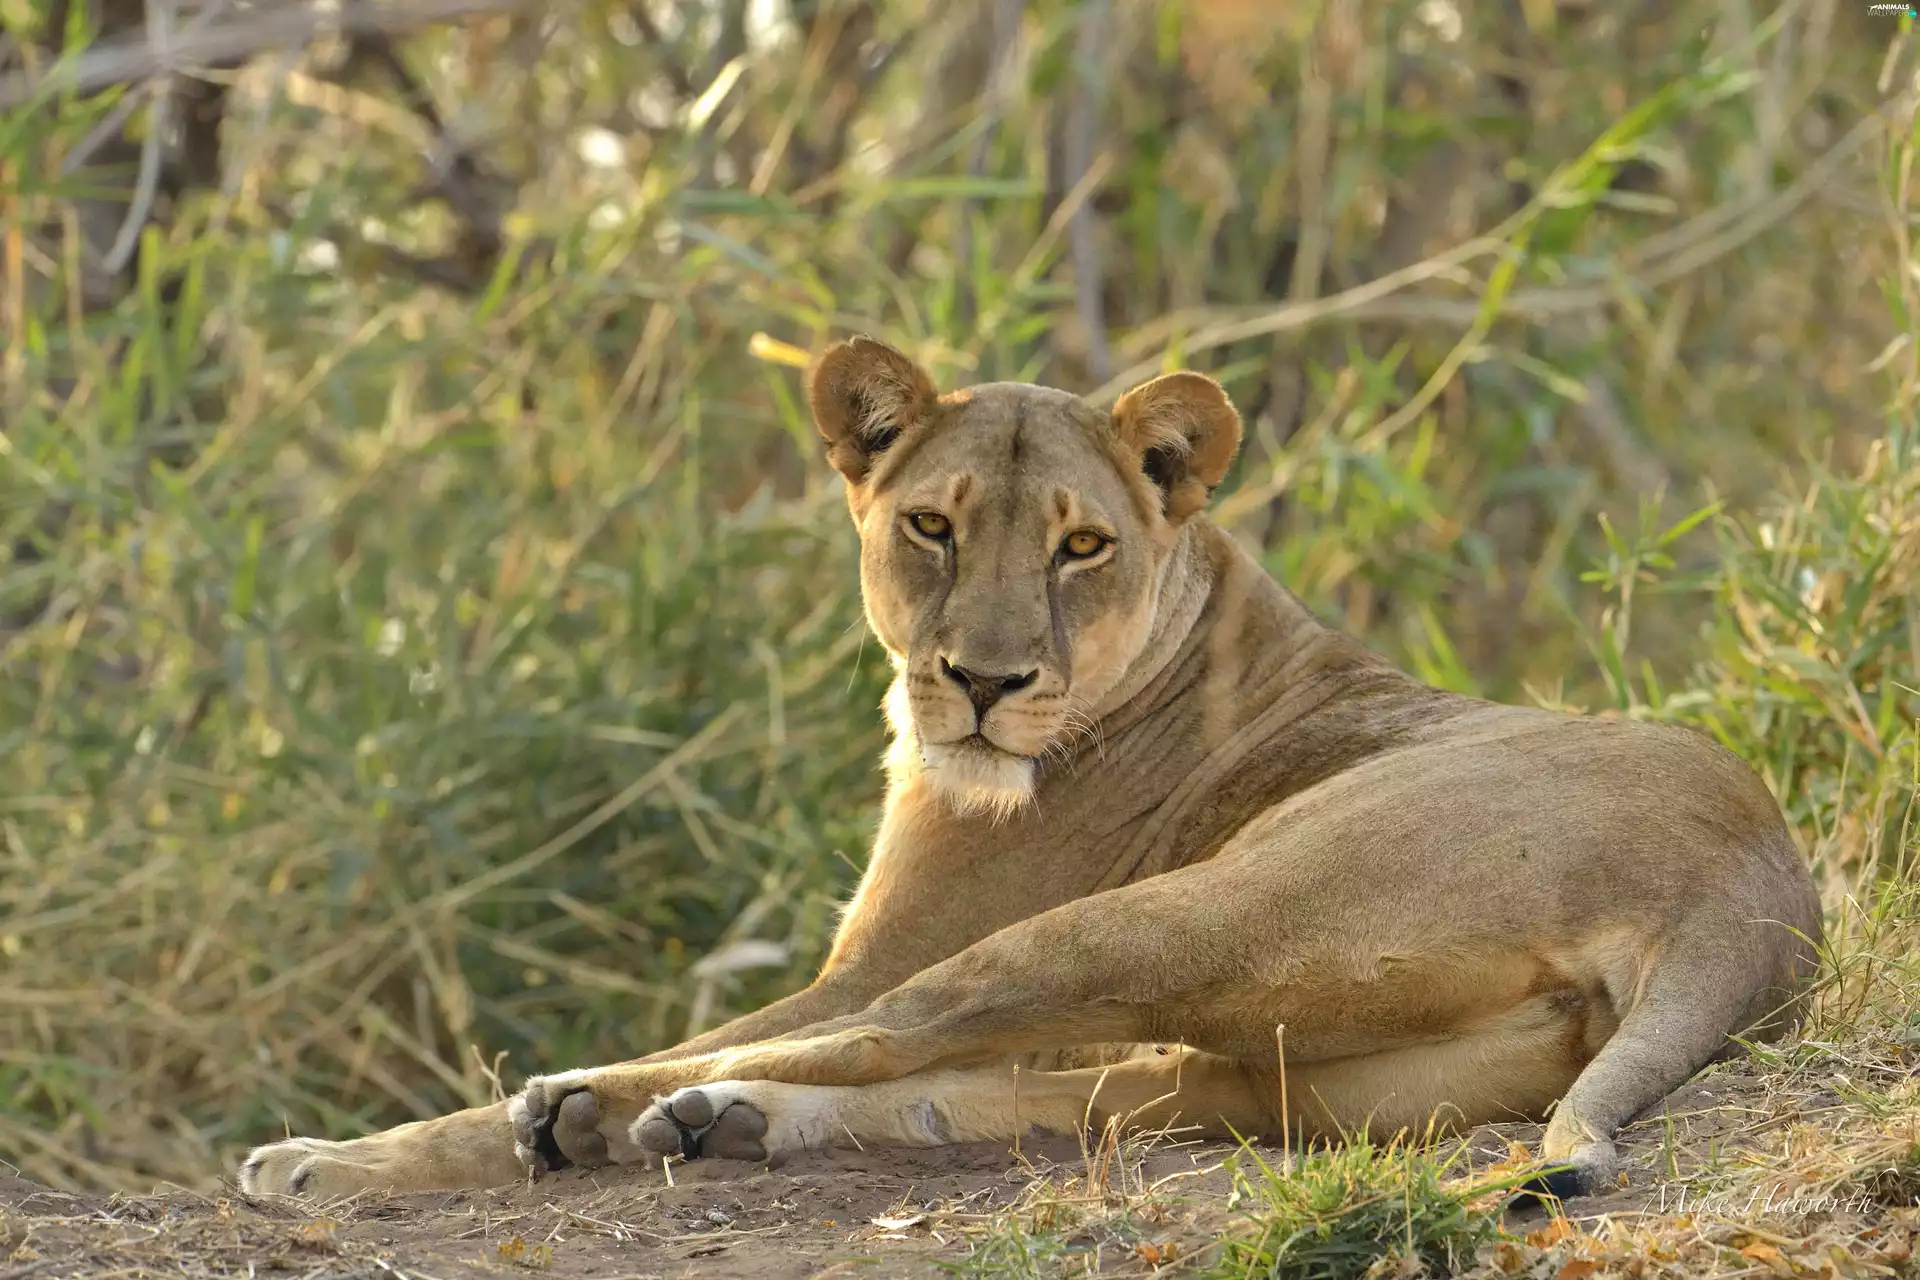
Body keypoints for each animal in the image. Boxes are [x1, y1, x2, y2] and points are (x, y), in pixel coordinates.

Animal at [240, 337, 1823, 1203]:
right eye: (932, 525)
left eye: (1081, 544)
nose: (986, 684)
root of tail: (1756, 895)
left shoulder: (881, 950)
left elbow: (838, 1011)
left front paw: (320, 1161)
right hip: (1295, 1074)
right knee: (1054, 1091)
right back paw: (715, 1123)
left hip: (1206, 912)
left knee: (904, 1034)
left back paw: (580, 1113)